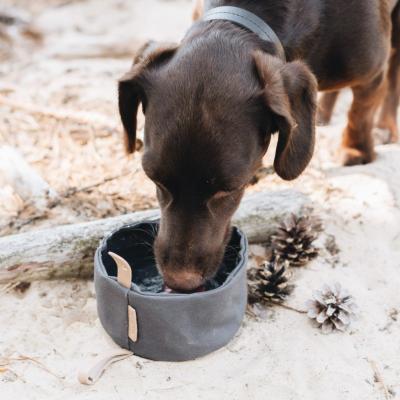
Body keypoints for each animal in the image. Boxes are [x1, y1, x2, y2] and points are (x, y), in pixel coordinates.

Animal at [119, 1, 400, 292]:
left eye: (229, 189)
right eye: (155, 179)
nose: (179, 283)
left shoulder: (372, 71)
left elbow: (361, 110)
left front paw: (356, 150)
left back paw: (385, 127)